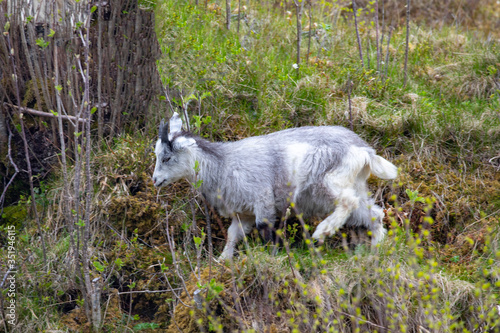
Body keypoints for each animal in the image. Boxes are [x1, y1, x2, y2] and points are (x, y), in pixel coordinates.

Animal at [153, 113, 398, 258]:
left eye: (167, 158)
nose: (155, 180)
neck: (223, 164)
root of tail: (365, 151)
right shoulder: (243, 213)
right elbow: (233, 235)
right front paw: (223, 260)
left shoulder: (262, 199)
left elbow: (265, 228)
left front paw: (272, 255)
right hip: (354, 184)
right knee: (373, 213)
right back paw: (376, 248)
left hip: (328, 182)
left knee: (348, 202)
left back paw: (323, 231)